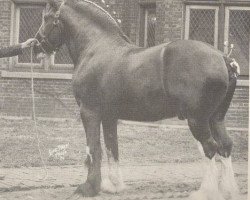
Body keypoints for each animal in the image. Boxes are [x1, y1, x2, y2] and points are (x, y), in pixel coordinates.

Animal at [33, 0, 240, 199]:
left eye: (46, 18)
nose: (36, 47)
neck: (96, 48)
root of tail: (223, 58)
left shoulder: (89, 112)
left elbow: (94, 149)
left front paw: (88, 188)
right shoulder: (109, 116)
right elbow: (112, 148)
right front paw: (114, 186)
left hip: (197, 119)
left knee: (210, 147)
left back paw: (206, 192)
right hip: (215, 118)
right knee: (225, 145)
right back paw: (228, 190)